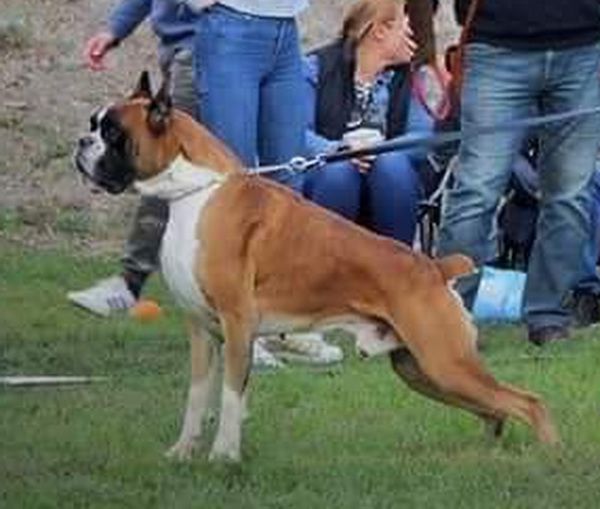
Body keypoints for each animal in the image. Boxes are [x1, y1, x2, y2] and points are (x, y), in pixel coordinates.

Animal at [74, 73, 556, 462]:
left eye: (113, 131)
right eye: (95, 124)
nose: (82, 142)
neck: (194, 193)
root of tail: (436, 267)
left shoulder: (236, 324)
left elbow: (230, 398)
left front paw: (224, 457)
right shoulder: (202, 331)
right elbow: (196, 399)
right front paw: (182, 453)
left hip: (444, 363)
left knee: (529, 402)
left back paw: (549, 458)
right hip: (423, 369)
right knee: (495, 408)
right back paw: (489, 453)